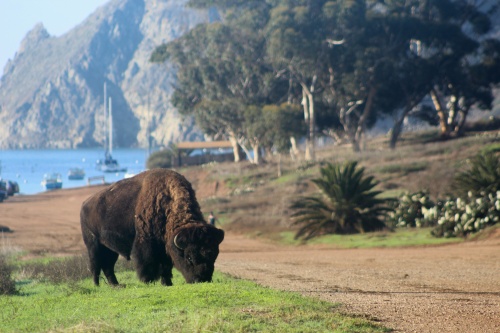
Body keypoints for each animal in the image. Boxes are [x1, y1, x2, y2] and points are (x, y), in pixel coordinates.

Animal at [80, 169, 225, 286]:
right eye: (189, 257)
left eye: (213, 255)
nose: (202, 279)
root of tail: (84, 204)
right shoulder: (146, 244)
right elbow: (148, 263)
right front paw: (148, 281)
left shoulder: (165, 247)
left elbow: (166, 267)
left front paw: (167, 283)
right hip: (93, 245)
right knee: (95, 265)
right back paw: (97, 285)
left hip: (110, 249)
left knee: (108, 266)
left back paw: (116, 285)